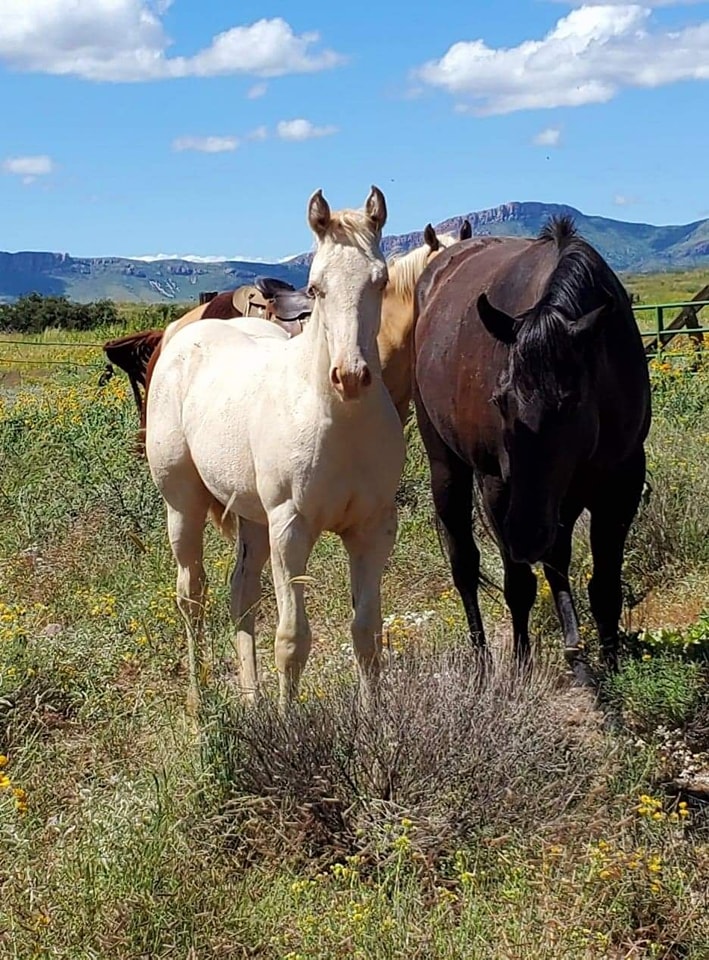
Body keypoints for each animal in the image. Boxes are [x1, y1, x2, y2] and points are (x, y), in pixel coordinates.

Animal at [145, 186, 406, 714]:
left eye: (380, 281)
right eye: (316, 287)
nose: (351, 377)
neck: (339, 420)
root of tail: (183, 335)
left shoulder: (373, 529)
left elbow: (366, 633)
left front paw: (375, 723)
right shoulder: (291, 528)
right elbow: (292, 639)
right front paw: (288, 725)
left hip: (252, 518)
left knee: (240, 594)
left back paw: (252, 696)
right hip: (183, 507)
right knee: (192, 595)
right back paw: (199, 703)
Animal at [413, 217, 651, 682]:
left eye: (571, 402)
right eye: (499, 401)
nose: (525, 536)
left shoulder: (622, 483)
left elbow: (604, 585)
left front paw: (611, 666)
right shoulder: (499, 488)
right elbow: (519, 584)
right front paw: (522, 667)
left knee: (556, 555)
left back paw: (575, 652)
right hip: (449, 469)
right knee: (465, 565)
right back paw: (483, 662)